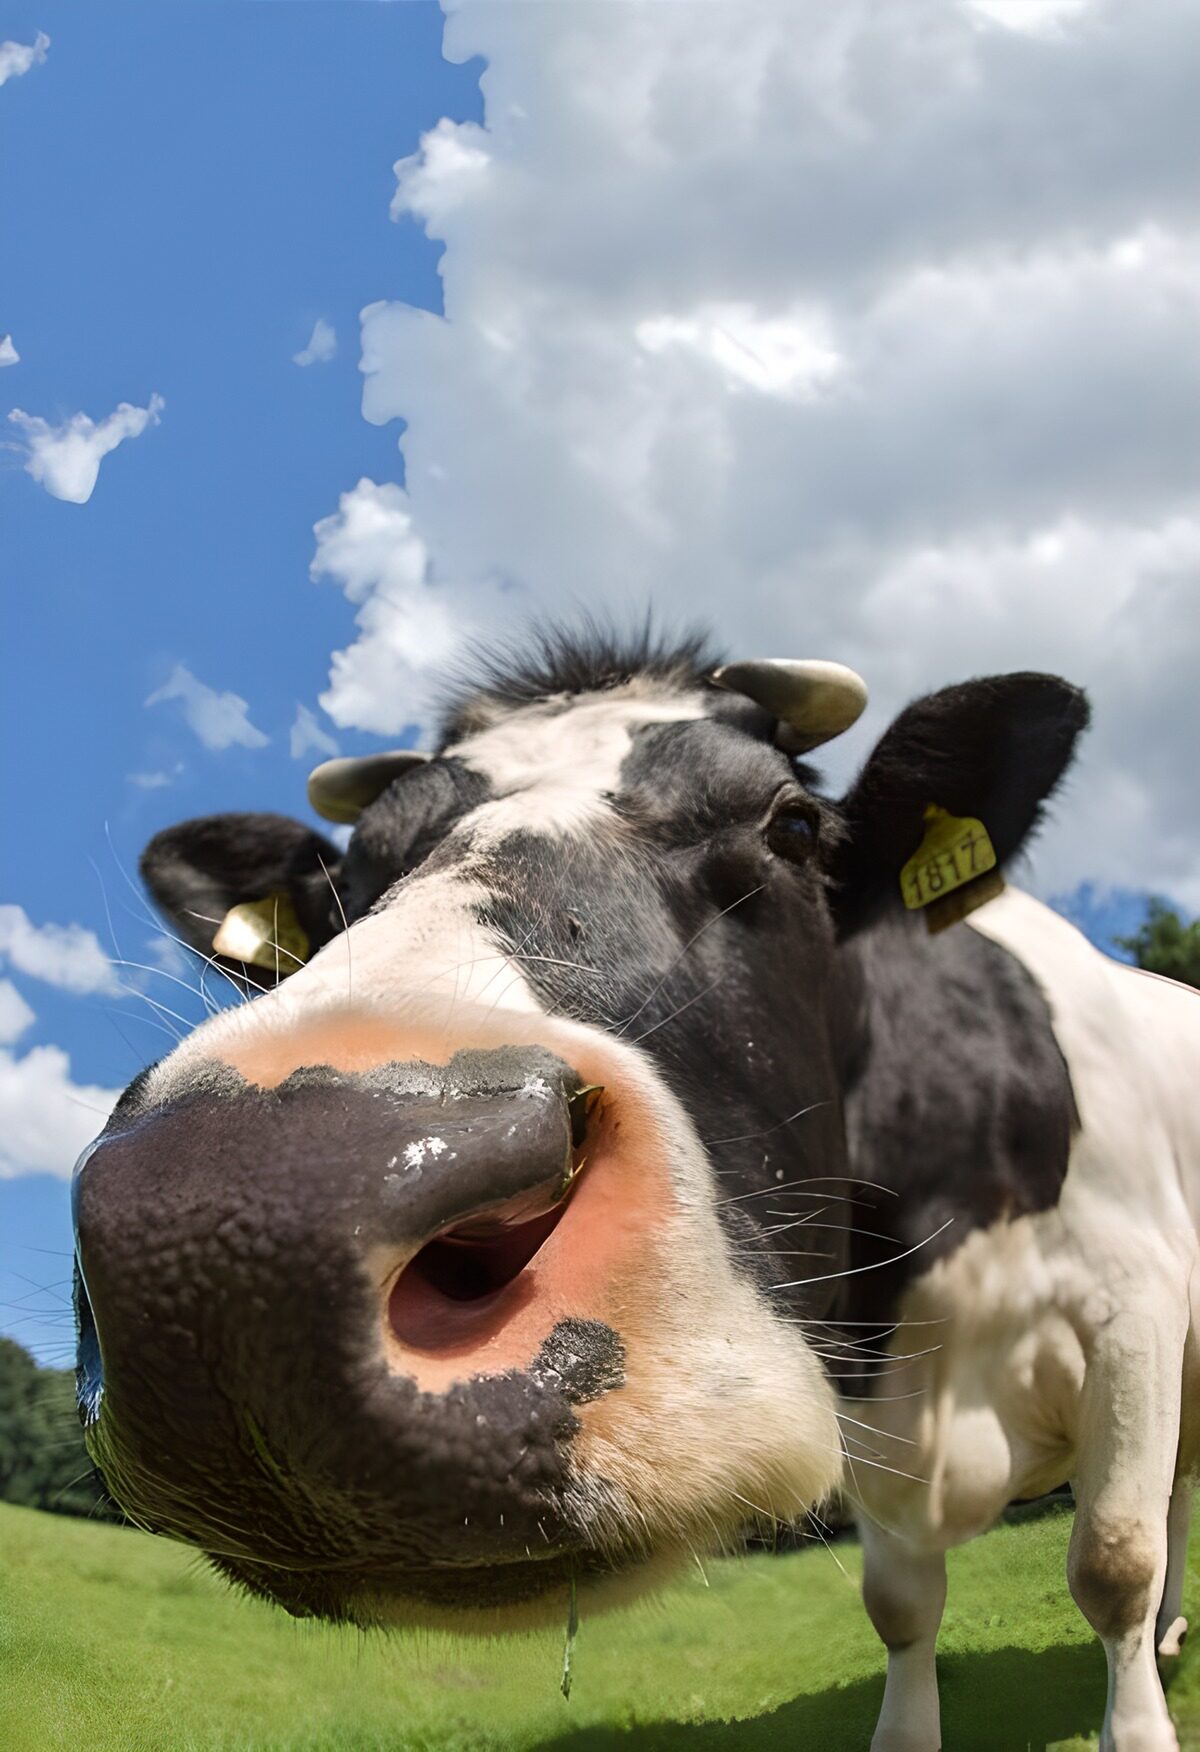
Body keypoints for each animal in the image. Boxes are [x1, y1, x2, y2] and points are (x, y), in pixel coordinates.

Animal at [71, 627, 1198, 1752]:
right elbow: (902, 1603)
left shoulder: (1129, 1309)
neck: (911, 1311)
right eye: (349, 872)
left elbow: (1113, 1561)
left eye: (795, 828)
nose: (241, 1215)